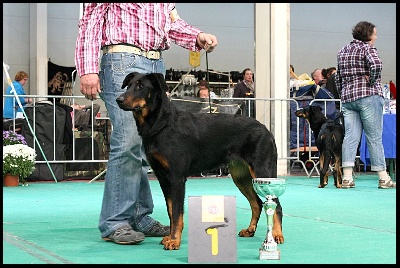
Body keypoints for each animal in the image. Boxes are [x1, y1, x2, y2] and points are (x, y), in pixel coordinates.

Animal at [115, 72, 284, 250]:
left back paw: (277, 235)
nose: (119, 99)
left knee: (276, 205)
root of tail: (266, 130)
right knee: (256, 203)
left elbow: (177, 212)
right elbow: (170, 211)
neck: (162, 124)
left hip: (263, 171)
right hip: (241, 176)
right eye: (128, 85)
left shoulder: (176, 178)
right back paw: (250, 230)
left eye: (140, 86)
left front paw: (174, 240)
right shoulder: (163, 178)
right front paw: (170, 237)